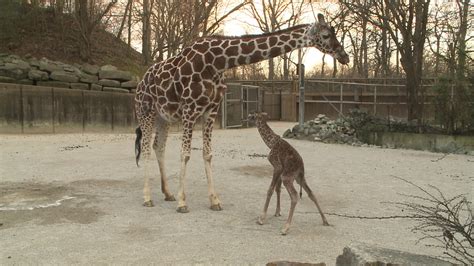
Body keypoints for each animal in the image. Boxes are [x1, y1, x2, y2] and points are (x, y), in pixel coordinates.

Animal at [133, 15, 348, 214]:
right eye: (326, 35)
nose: (344, 56)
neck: (217, 62)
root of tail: (140, 82)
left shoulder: (210, 110)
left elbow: (207, 154)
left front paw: (214, 201)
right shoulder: (190, 109)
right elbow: (185, 154)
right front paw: (182, 202)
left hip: (164, 117)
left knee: (158, 147)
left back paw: (167, 193)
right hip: (146, 111)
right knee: (146, 149)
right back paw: (147, 197)